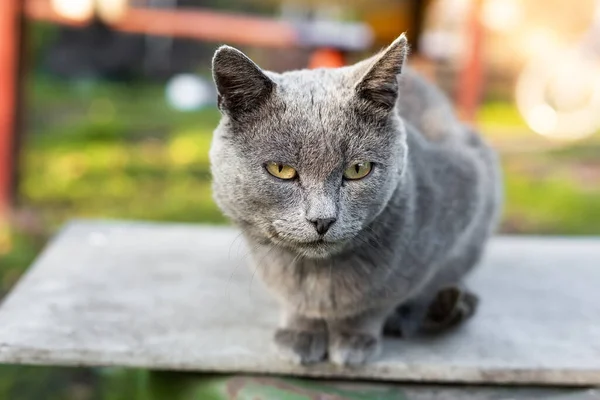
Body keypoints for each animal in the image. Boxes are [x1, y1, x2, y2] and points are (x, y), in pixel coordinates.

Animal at [209, 34, 504, 366]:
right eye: (281, 170)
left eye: (358, 169)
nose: (322, 219)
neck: (318, 273)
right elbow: (295, 302)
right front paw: (301, 332)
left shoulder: (465, 186)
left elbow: (379, 301)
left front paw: (354, 338)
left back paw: (446, 307)